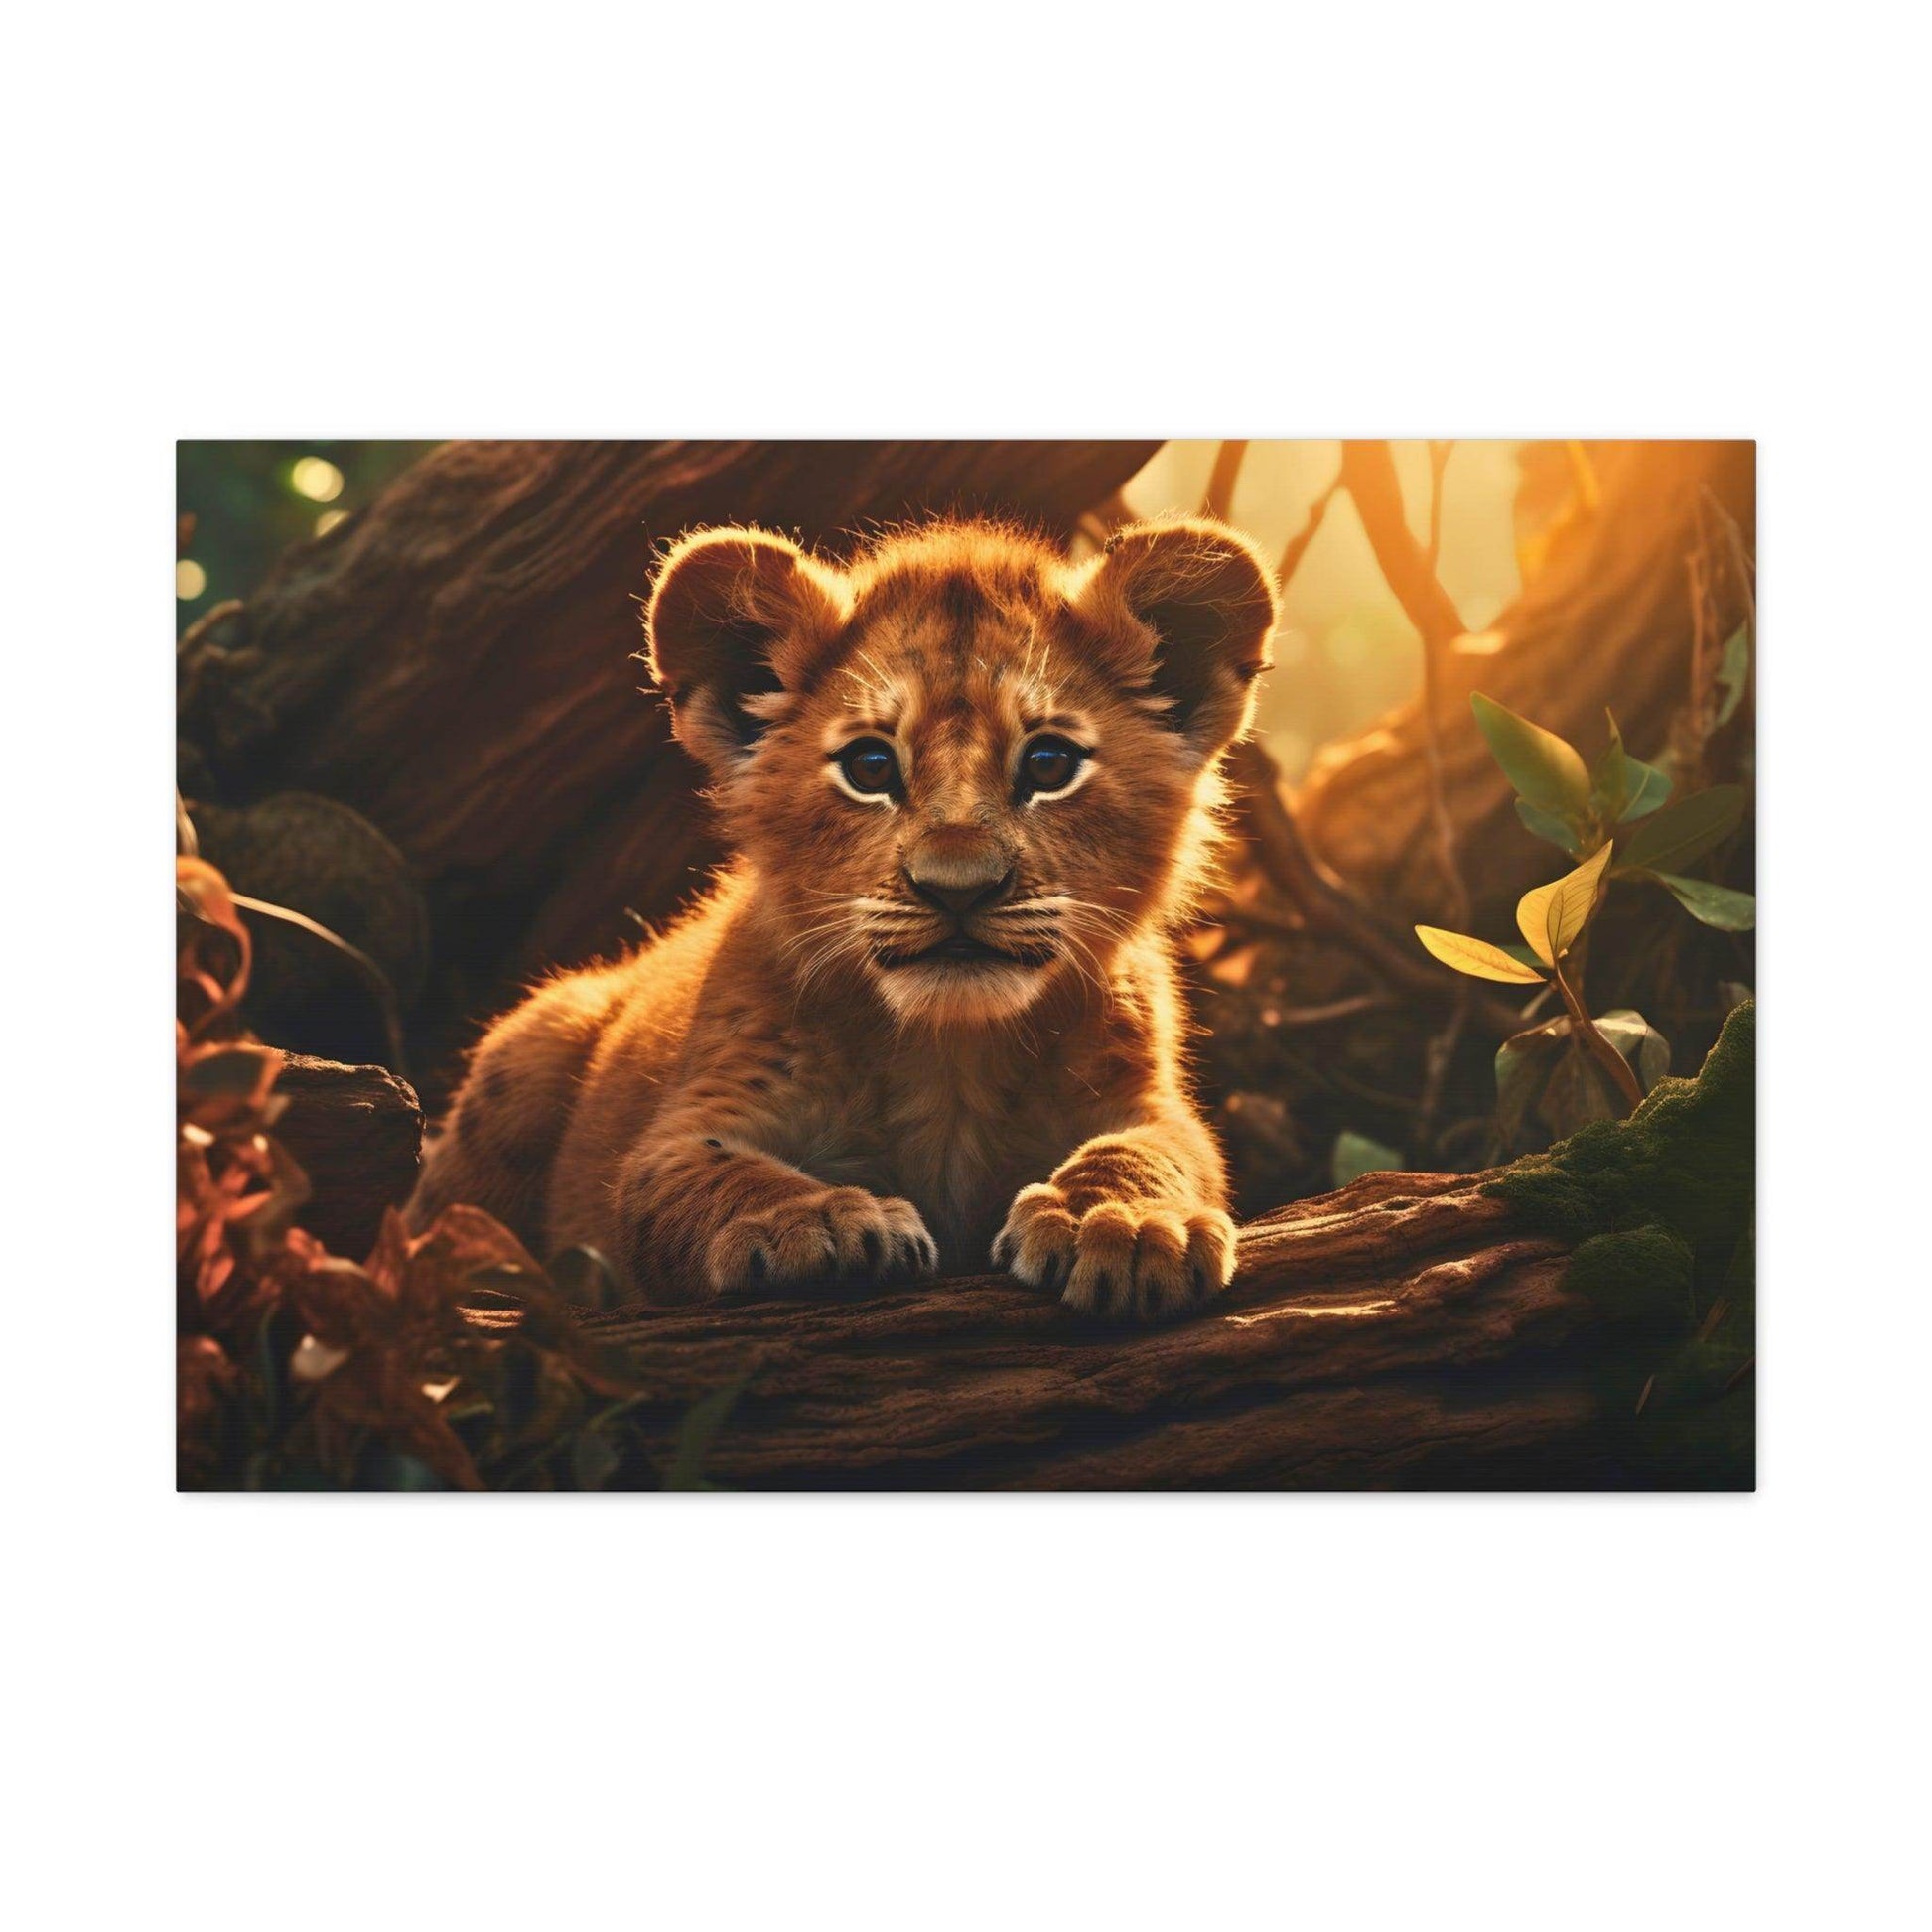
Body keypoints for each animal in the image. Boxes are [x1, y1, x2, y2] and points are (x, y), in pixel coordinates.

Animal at [408, 513, 1279, 1321]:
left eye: (1049, 763)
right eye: (869, 767)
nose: (958, 888)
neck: (950, 1055)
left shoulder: (1149, 1101)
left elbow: (1150, 1150)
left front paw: (1123, 1223)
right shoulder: (688, 1125)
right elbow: (715, 1174)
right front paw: (813, 1222)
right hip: (530, 1046)